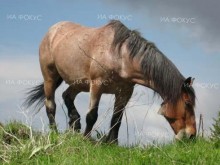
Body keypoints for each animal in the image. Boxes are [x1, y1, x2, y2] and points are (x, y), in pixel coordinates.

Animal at [23, 19, 197, 143]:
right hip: (50, 78)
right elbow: (92, 115)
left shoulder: (125, 92)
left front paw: (112, 142)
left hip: (79, 83)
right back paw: (55, 132)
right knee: (50, 105)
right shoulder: (97, 86)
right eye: (188, 103)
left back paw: (75, 124)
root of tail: (53, 30)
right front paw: (86, 139)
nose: (192, 136)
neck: (120, 56)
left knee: (67, 96)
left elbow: (117, 118)